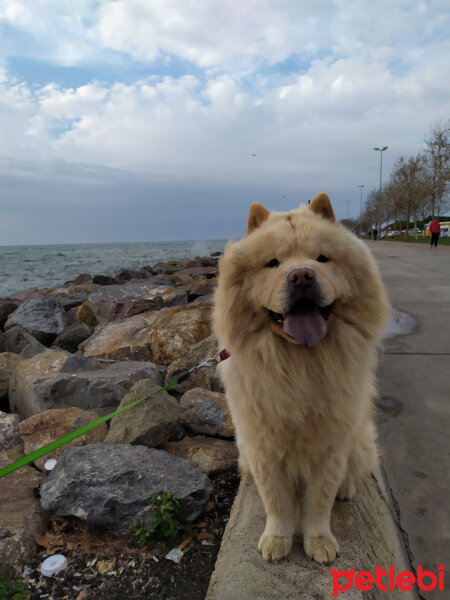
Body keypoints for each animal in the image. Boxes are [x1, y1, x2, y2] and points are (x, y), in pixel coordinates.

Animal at [213, 195, 388, 564]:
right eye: (272, 263)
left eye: (321, 258)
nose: (302, 275)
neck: (299, 367)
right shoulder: (262, 445)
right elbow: (277, 500)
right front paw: (276, 541)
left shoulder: (330, 446)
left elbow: (319, 501)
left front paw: (319, 542)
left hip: (361, 440)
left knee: (352, 471)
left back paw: (347, 490)